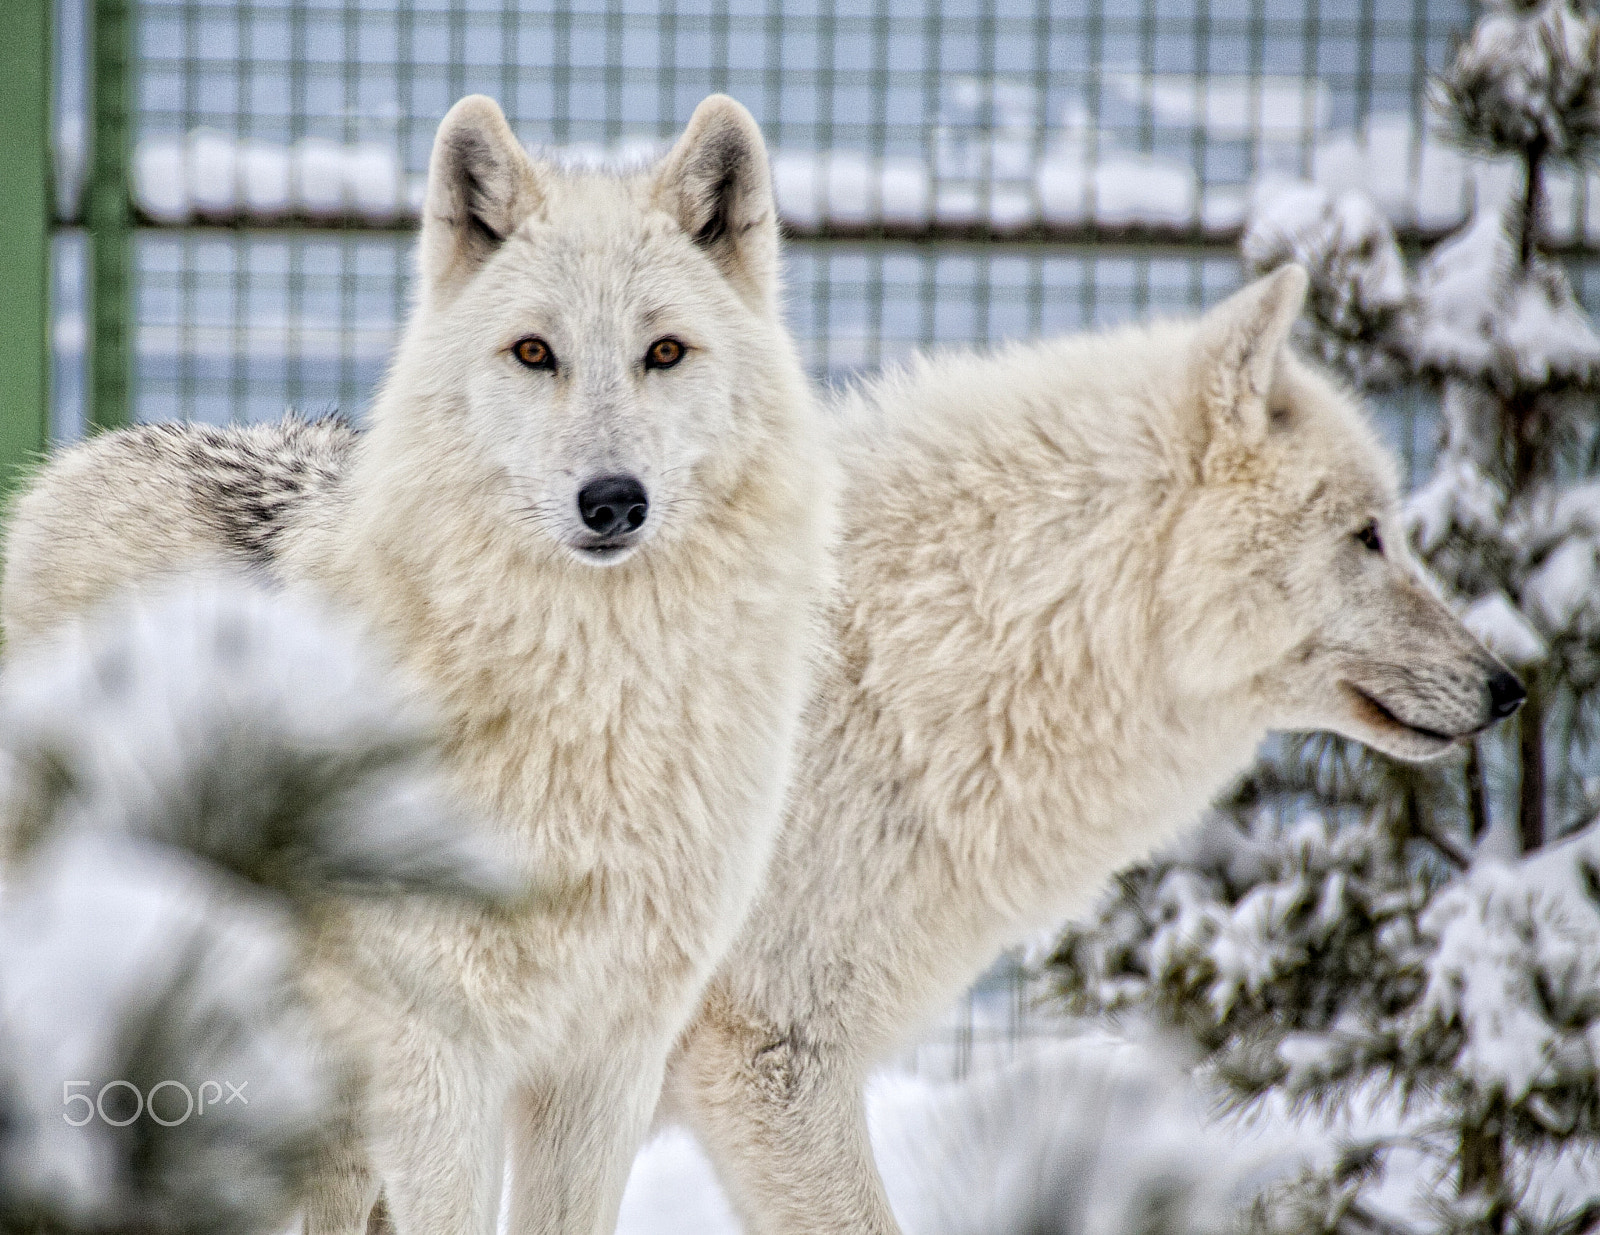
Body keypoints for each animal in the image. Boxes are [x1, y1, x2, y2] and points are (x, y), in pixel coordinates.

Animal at [2, 93, 832, 1235]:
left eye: (665, 351)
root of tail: (83, 460)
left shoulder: (607, 1059)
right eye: (533, 352)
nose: (613, 501)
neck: (592, 707)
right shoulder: (440, 1053)